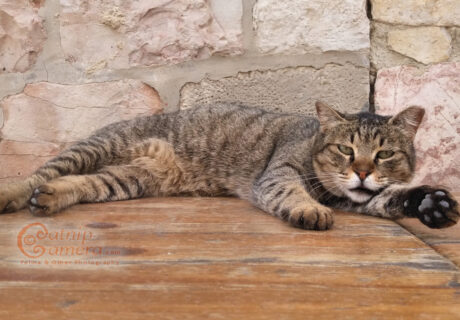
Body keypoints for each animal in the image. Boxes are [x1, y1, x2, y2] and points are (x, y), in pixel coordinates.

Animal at [0, 101, 460, 229]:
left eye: (384, 155)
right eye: (346, 150)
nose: (362, 172)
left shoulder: (360, 199)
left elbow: (391, 196)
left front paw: (431, 203)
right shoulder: (279, 172)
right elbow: (291, 191)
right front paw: (308, 209)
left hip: (127, 180)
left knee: (76, 183)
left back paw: (50, 198)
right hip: (95, 148)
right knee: (43, 172)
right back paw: (12, 194)